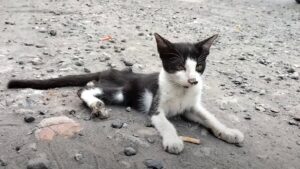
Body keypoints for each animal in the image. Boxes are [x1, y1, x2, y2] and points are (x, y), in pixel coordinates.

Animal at [7, 33, 244, 154]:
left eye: (199, 66)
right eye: (178, 66)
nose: (194, 80)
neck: (182, 91)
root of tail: (109, 70)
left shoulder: (192, 107)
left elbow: (210, 118)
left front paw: (229, 132)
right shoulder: (156, 107)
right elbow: (166, 123)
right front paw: (174, 141)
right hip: (121, 90)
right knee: (84, 89)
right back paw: (96, 106)